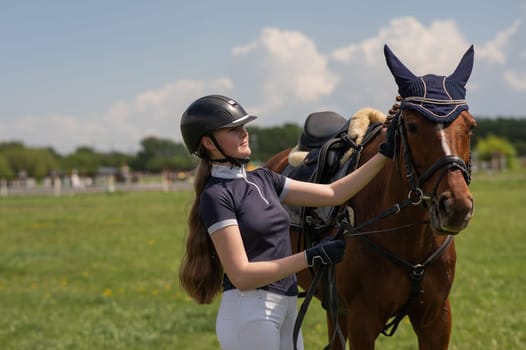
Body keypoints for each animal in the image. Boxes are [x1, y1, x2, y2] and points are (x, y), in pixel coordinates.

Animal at [266, 44, 476, 350]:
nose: (456, 207)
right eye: (412, 126)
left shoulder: (437, 319)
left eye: (470, 126)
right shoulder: (363, 320)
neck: (409, 240)